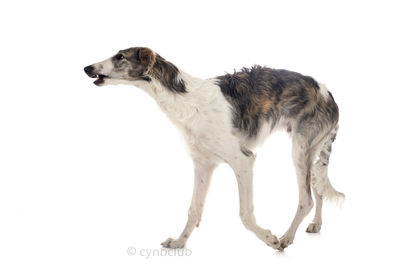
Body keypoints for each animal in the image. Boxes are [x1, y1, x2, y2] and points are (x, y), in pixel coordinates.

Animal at [83, 46, 344, 251]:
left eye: (120, 56)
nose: (86, 68)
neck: (186, 99)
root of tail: (328, 93)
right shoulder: (203, 164)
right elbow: (194, 210)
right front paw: (179, 242)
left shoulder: (243, 160)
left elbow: (245, 215)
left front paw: (269, 239)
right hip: (310, 151)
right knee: (317, 189)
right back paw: (315, 225)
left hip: (300, 148)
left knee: (306, 199)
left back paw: (285, 238)